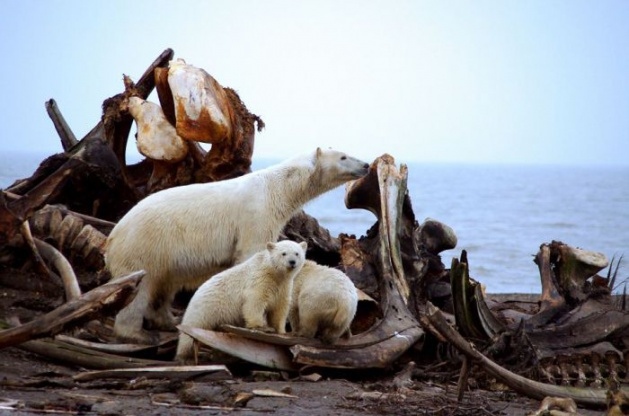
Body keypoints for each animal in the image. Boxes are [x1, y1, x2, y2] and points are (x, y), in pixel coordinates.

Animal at [105, 148, 366, 342]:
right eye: (343, 156)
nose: (365, 165)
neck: (276, 187)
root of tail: (112, 236)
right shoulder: (256, 214)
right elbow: (252, 253)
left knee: (165, 285)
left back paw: (170, 321)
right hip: (145, 245)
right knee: (141, 287)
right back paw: (136, 334)